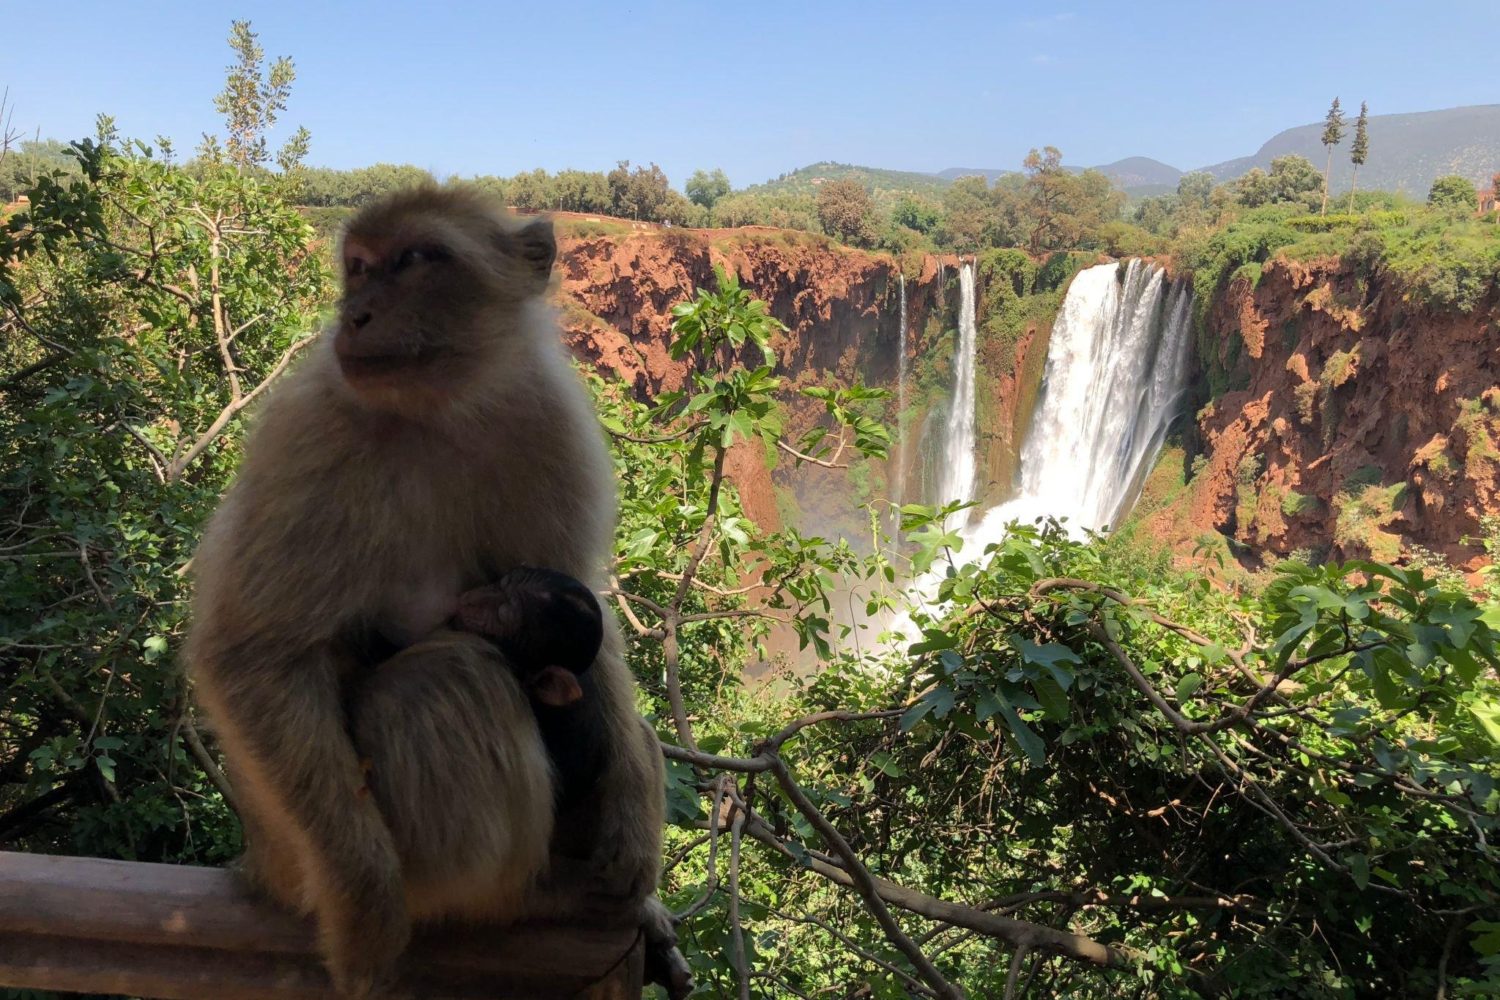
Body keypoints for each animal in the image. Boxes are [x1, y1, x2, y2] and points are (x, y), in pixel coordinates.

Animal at [184, 189, 687, 1000]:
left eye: (417, 259)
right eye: (359, 267)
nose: (354, 313)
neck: (439, 410)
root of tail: (260, 862)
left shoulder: (545, 419)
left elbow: (582, 602)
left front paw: (635, 811)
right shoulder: (310, 431)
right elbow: (253, 654)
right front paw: (368, 919)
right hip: (312, 858)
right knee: (448, 677)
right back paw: (527, 896)